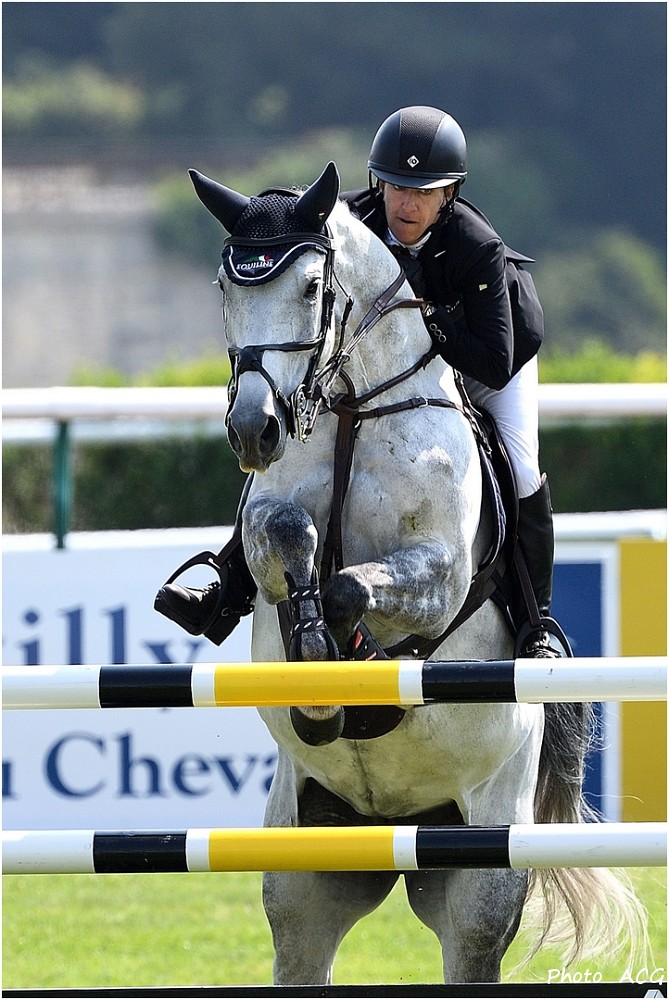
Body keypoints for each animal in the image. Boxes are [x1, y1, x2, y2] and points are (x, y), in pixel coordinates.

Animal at [187, 161, 646, 985]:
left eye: (312, 286)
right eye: (226, 287)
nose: (254, 430)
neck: (353, 409)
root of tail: (395, 827)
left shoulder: (437, 575)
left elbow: (352, 587)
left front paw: (341, 661)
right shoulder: (270, 519)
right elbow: (286, 538)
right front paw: (310, 657)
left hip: (481, 870)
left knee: (471, 944)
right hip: (303, 869)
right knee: (301, 943)